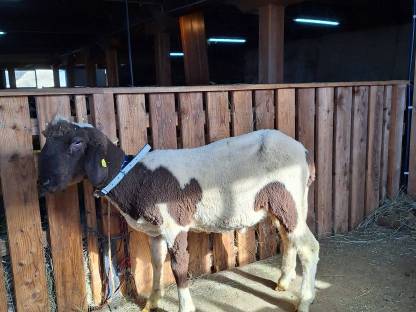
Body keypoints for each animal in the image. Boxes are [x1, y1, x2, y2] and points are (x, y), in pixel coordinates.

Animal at [38, 116, 318, 312]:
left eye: (77, 143)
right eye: (45, 142)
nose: (44, 182)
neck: (133, 176)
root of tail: (305, 153)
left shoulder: (175, 224)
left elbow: (178, 267)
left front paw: (185, 306)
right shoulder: (154, 231)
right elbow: (155, 263)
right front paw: (152, 302)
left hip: (288, 199)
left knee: (309, 247)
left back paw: (304, 301)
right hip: (283, 205)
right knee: (288, 239)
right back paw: (283, 281)